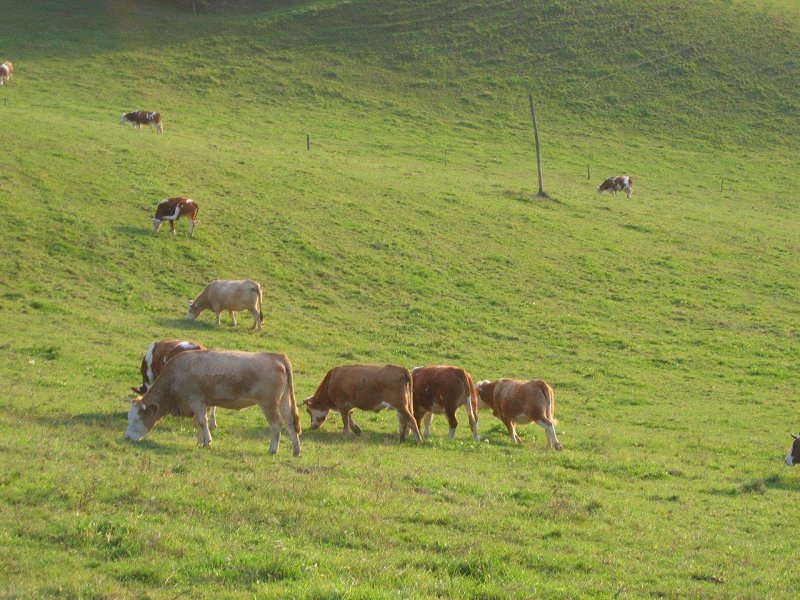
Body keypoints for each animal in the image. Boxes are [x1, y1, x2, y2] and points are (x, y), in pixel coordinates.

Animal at [125, 346, 300, 454]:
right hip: (284, 400)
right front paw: (200, 441)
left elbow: (202, 422)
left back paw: (273, 449)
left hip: (268, 403)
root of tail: (277, 356)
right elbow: (197, 423)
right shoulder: (196, 404)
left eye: (137, 419)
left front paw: (208, 441)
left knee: (277, 424)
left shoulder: (196, 400)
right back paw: (296, 450)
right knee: (290, 422)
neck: (175, 376)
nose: (127, 438)